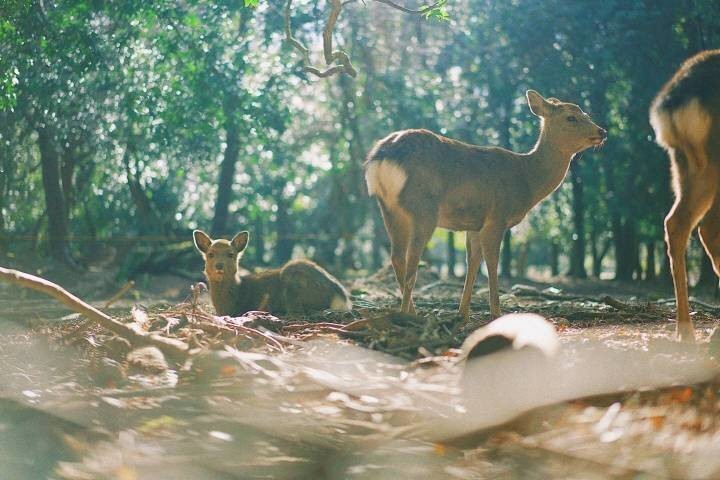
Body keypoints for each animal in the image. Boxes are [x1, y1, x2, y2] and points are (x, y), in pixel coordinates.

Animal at [366, 90, 608, 322]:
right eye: (571, 117)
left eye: (586, 114)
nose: (602, 131)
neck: (526, 181)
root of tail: (382, 156)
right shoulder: (497, 217)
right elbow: (492, 262)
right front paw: (495, 313)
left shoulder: (474, 224)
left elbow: (472, 262)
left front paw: (463, 314)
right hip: (423, 207)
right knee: (411, 263)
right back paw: (407, 317)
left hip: (388, 208)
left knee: (396, 257)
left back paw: (412, 313)